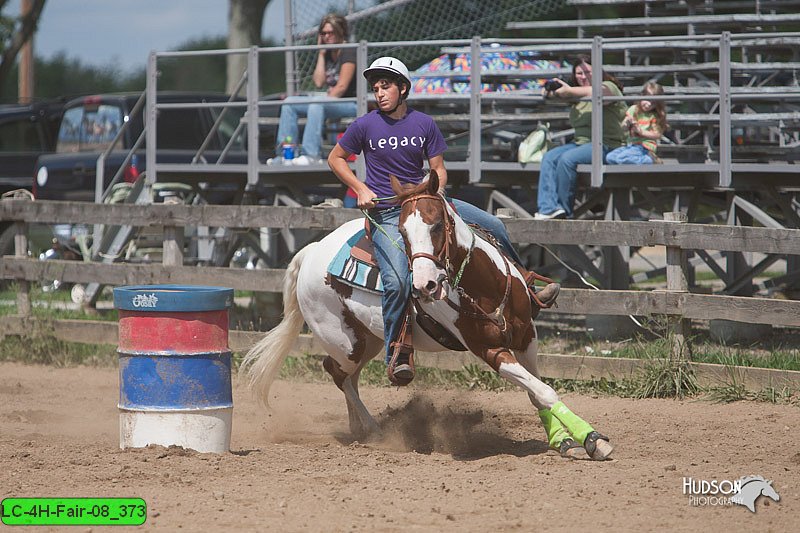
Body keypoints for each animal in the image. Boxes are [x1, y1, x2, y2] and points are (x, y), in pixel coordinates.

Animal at [242, 169, 612, 458]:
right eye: (403, 233)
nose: (425, 285)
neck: (484, 287)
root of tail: (313, 250)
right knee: (337, 372)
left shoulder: (527, 338)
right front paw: (592, 439)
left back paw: (359, 428)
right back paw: (375, 431)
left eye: (436, 226)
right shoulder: (490, 350)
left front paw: (564, 440)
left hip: (370, 340)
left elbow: (537, 393)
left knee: (350, 378)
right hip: (345, 342)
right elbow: (544, 391)